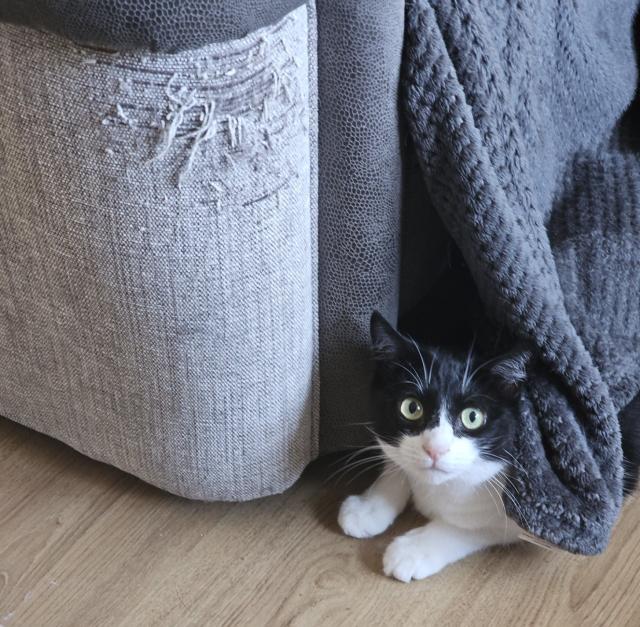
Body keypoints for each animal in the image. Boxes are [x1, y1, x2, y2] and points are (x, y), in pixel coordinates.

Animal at [338, 314, 636, 584]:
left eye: (472, 417)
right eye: (411, 408)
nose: (435, 449)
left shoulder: (520, 515)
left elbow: (475, 527)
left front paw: (413, 550)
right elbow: (397, 460)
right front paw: (368, 507)